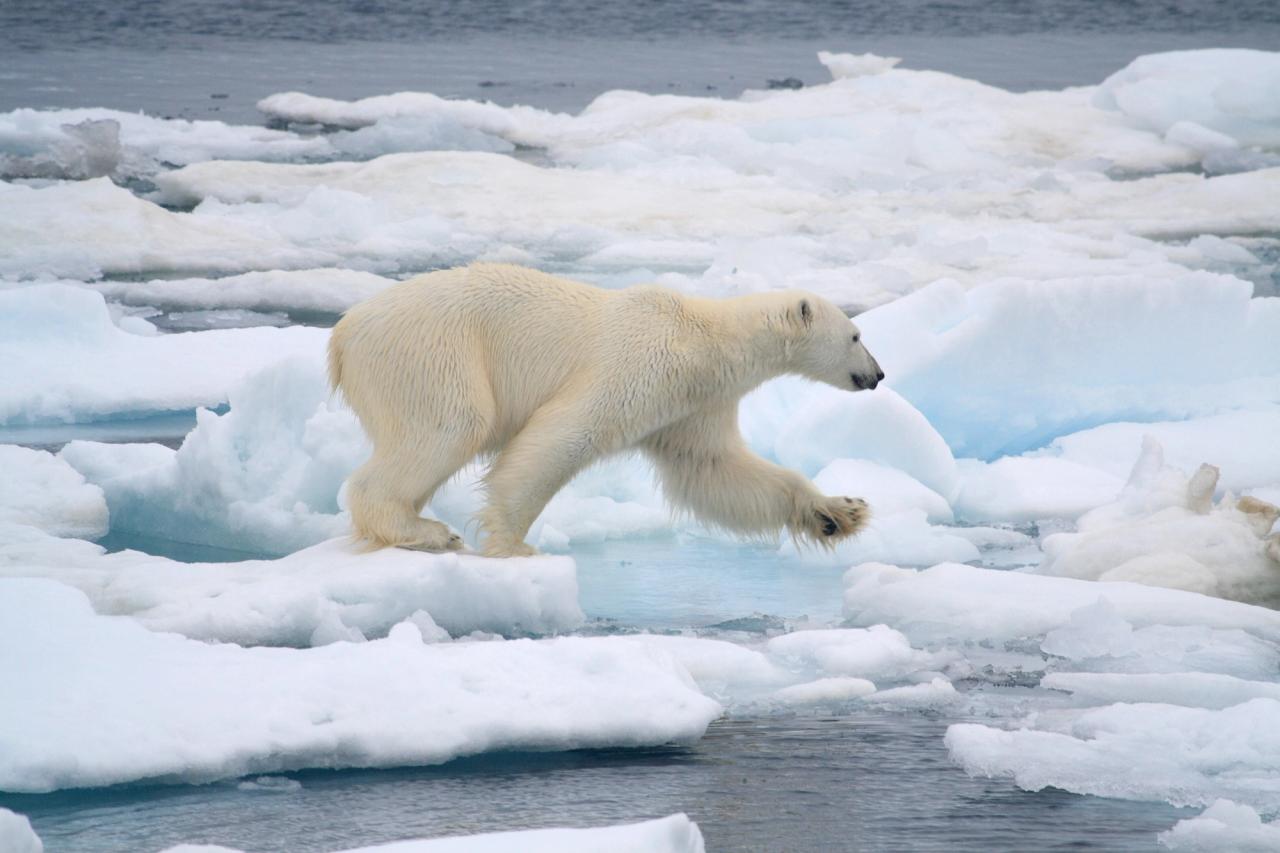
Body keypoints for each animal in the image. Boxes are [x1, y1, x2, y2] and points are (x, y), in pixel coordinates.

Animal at [328, 263, 884, 557]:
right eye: (856, 335)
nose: (878, 375)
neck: (703, 339)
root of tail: (342, 335)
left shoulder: (693, 404)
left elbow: (714, 471)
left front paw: (839, 512)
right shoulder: (638, 363)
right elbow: (564, 434)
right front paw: (515, 545)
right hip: (435, 352)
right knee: (451, 425)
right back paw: (429, 531)